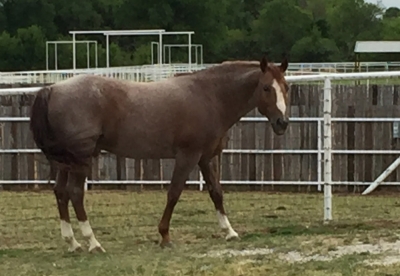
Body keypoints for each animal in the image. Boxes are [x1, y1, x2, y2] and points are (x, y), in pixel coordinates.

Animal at [28, 55, 290, 253]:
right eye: (266, 88)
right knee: (75, 193)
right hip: (80, 160)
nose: (282, 123)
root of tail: (53, 88)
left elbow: (216, 192)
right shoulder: (187, 156)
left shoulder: (206, 158)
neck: (210, 97)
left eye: (286, 88)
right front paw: (164, 236)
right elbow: (173, 193)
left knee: (61, 193)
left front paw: (229, 231)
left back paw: (72, 243)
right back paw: (93, 243)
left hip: (66, 162)